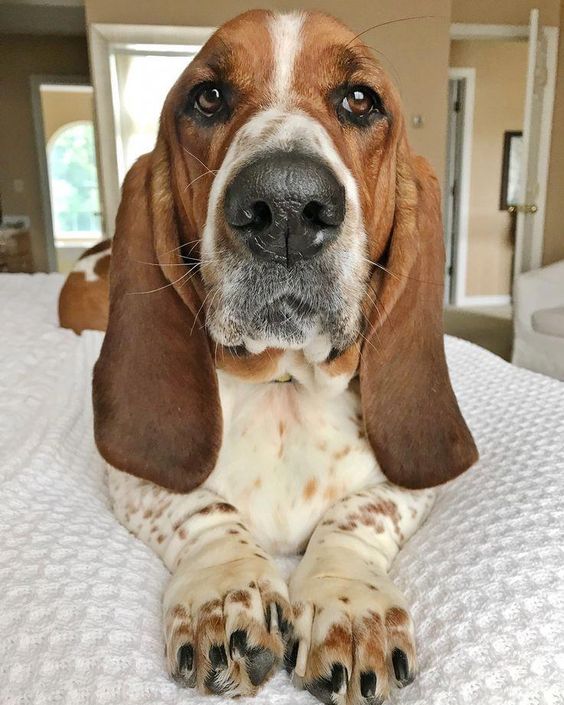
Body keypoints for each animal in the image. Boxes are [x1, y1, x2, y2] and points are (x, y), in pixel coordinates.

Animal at [60, 11, 476, 704]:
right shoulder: (132, 480)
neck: (284, 381)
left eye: (359, 100)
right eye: (207, 98)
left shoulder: (412, 483)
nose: (284, 205)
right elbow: (202, 508)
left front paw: (348, 605)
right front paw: (225, 591)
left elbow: (359, 513)